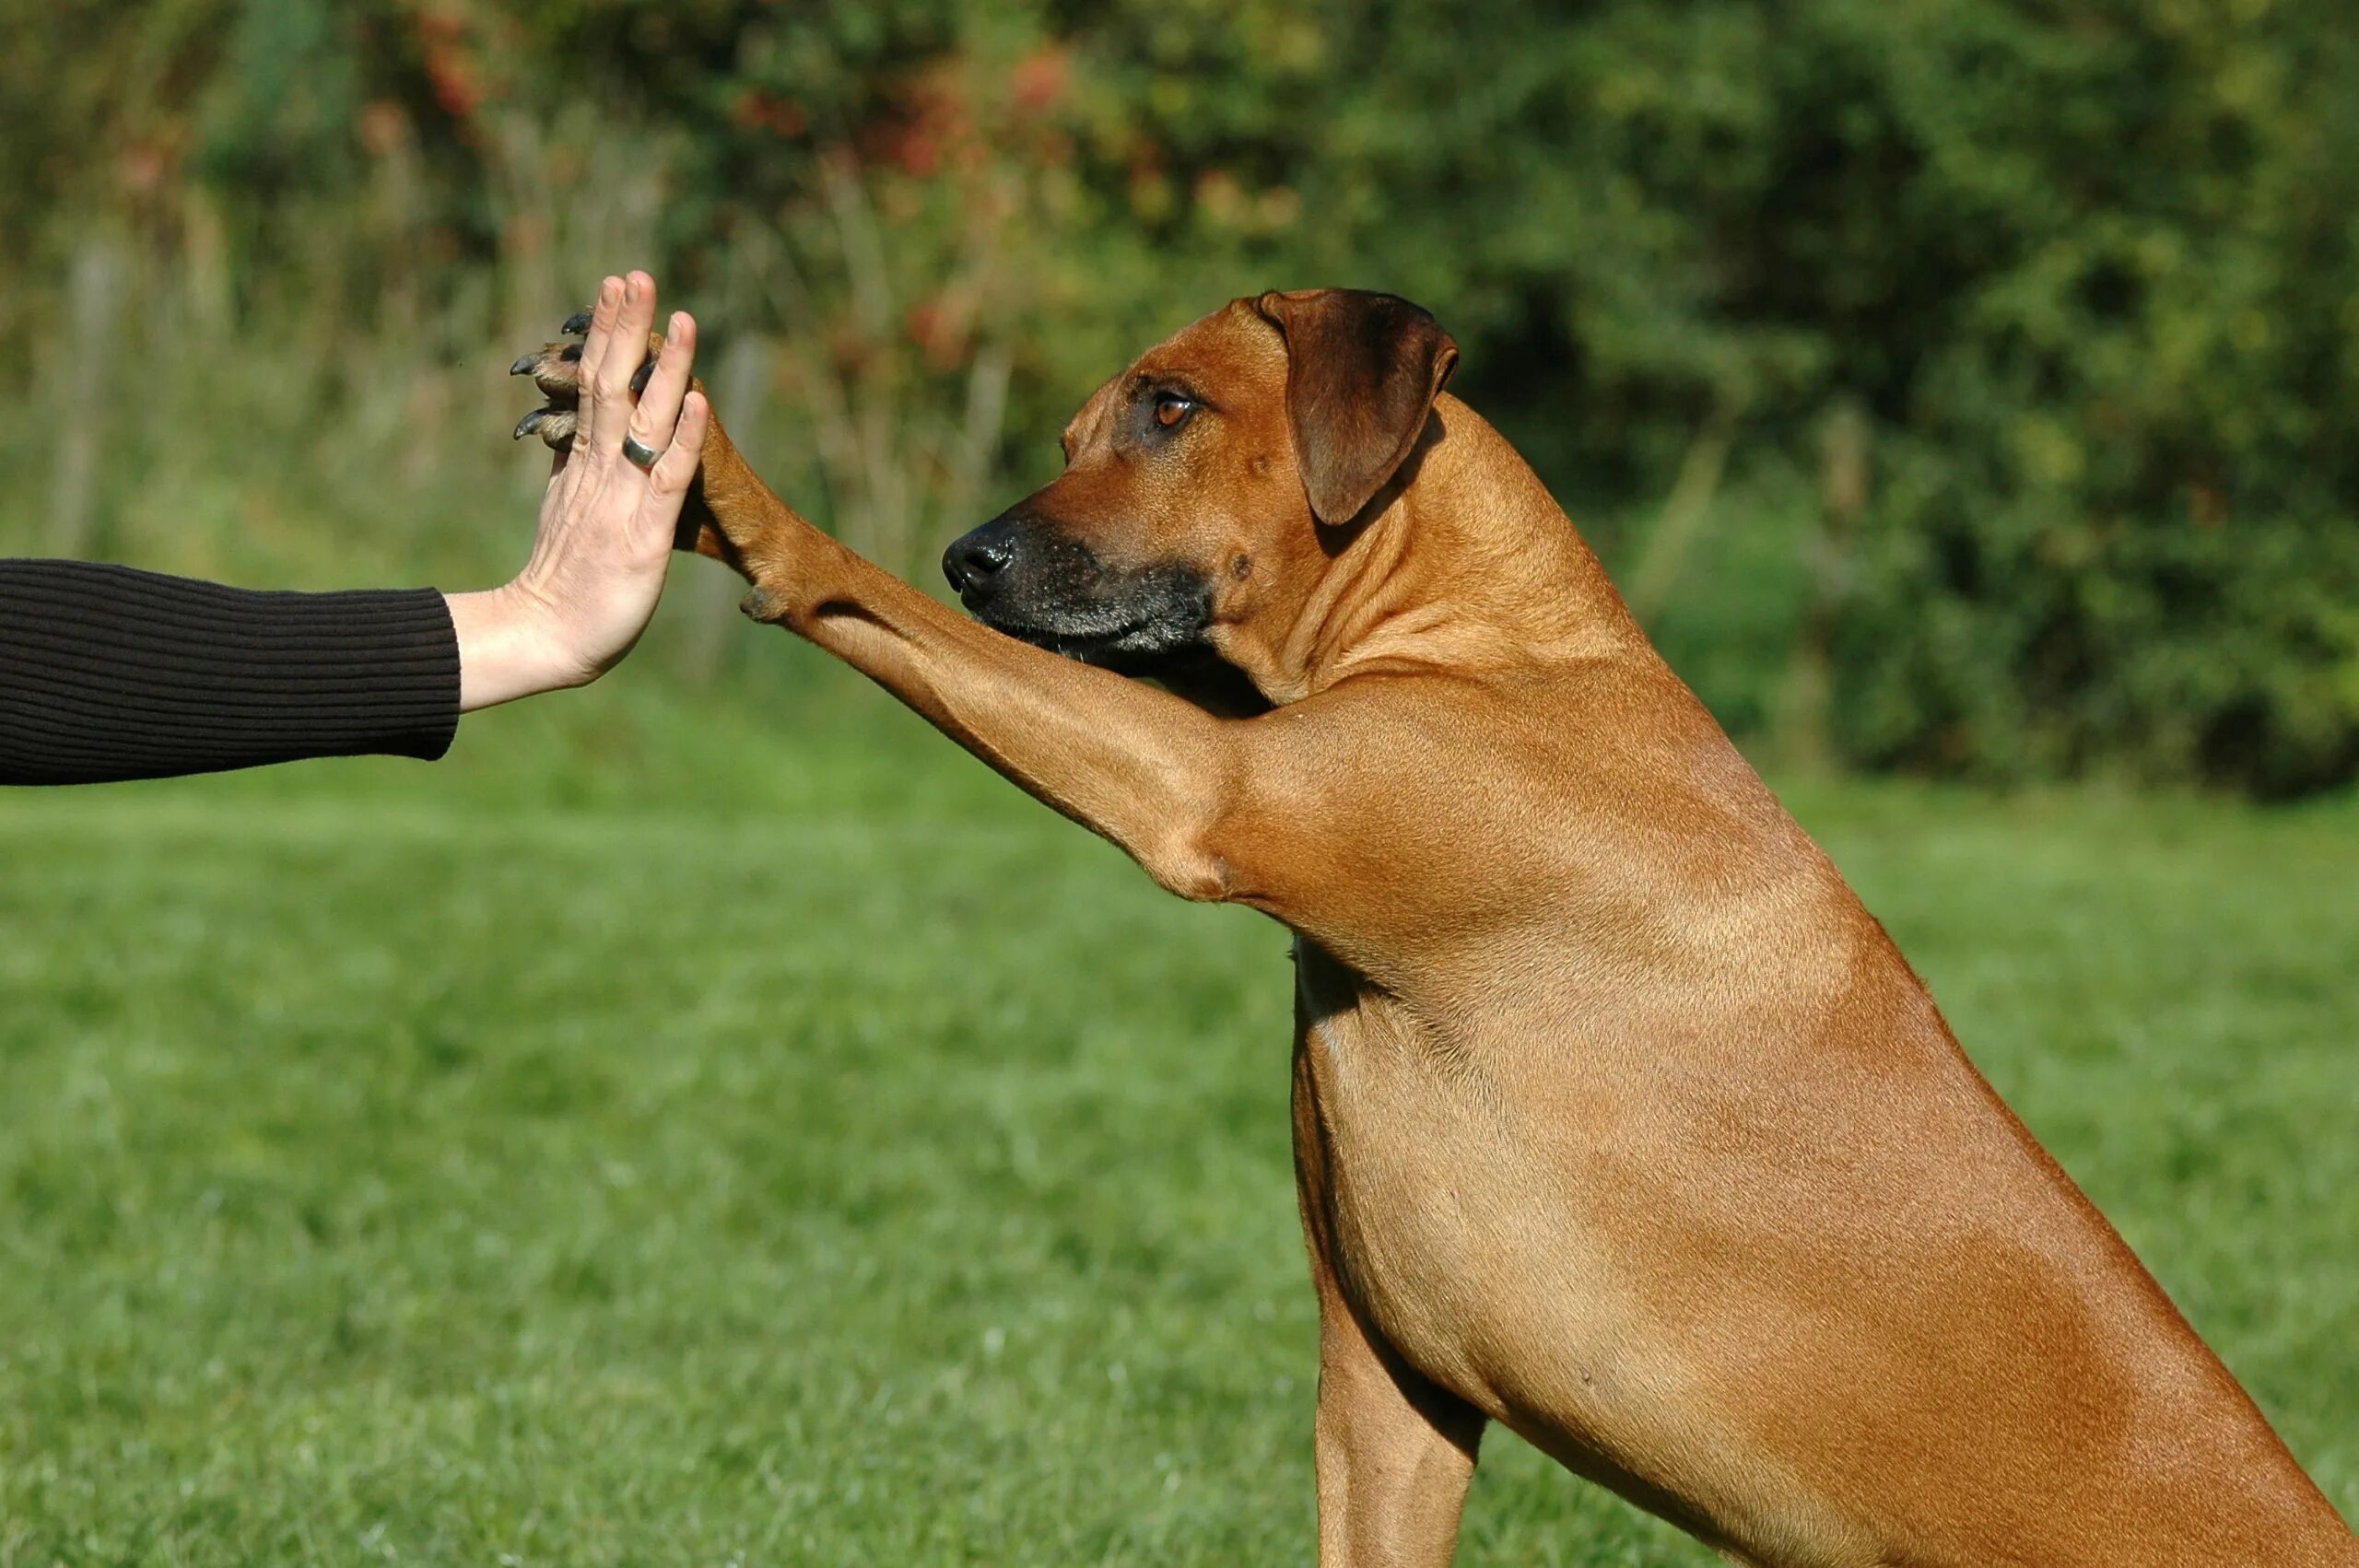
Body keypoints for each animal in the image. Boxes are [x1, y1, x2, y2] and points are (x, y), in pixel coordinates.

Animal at [507, 287, 2349, 1556]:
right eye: (1076, 432)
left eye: (1170, 406)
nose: (973, 555)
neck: (1491, 642)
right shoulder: (1388, 1389)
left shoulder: (1208, 794)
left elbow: (868, 598)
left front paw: (719, 486)